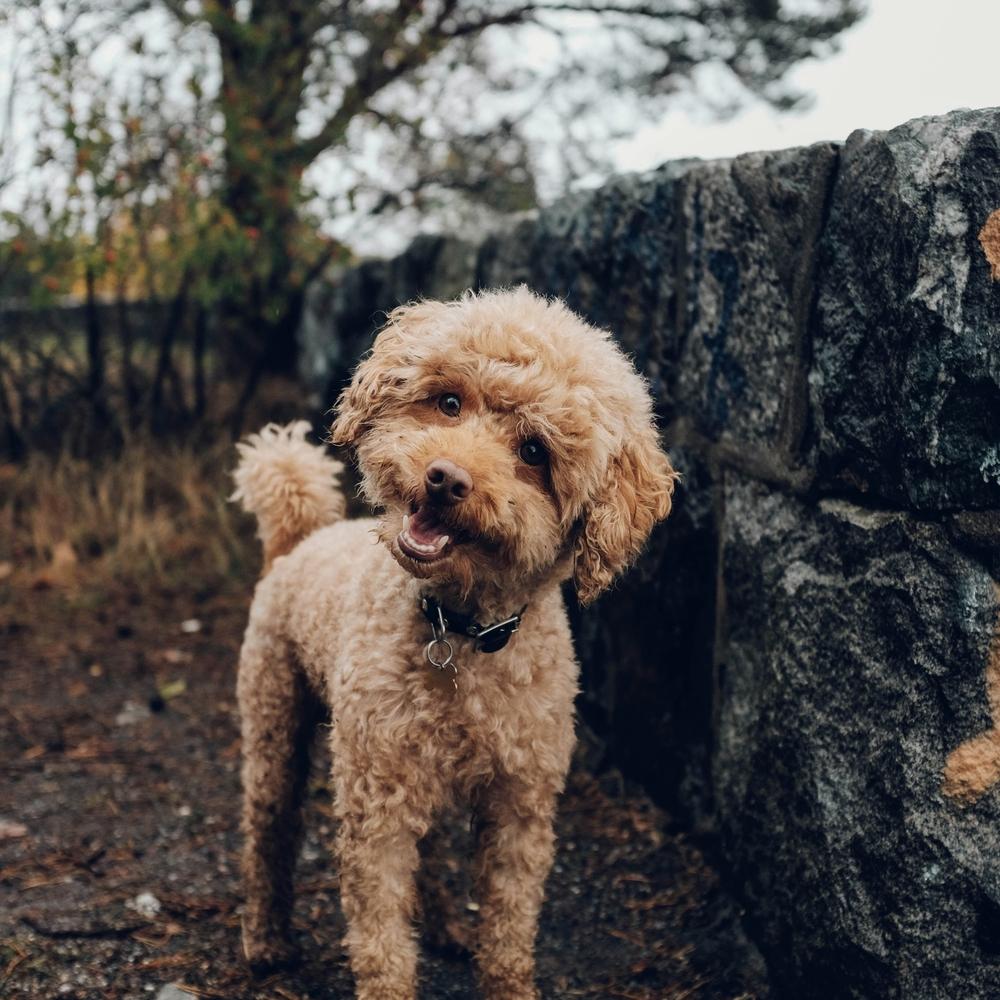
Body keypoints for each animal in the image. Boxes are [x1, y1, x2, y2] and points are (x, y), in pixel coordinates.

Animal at [230, 286, 676, 996]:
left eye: (534, 452)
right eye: (447, 402)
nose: (444, 477)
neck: (460, 630)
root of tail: (299, 540)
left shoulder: (521, 805)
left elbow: (510, 928)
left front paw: (503, 976)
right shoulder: (377, 798)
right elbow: (380, 933)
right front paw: (388, 982)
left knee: (429, 848)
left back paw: (443, 926)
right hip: (275, 718)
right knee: (268, 833)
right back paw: (267, 940)